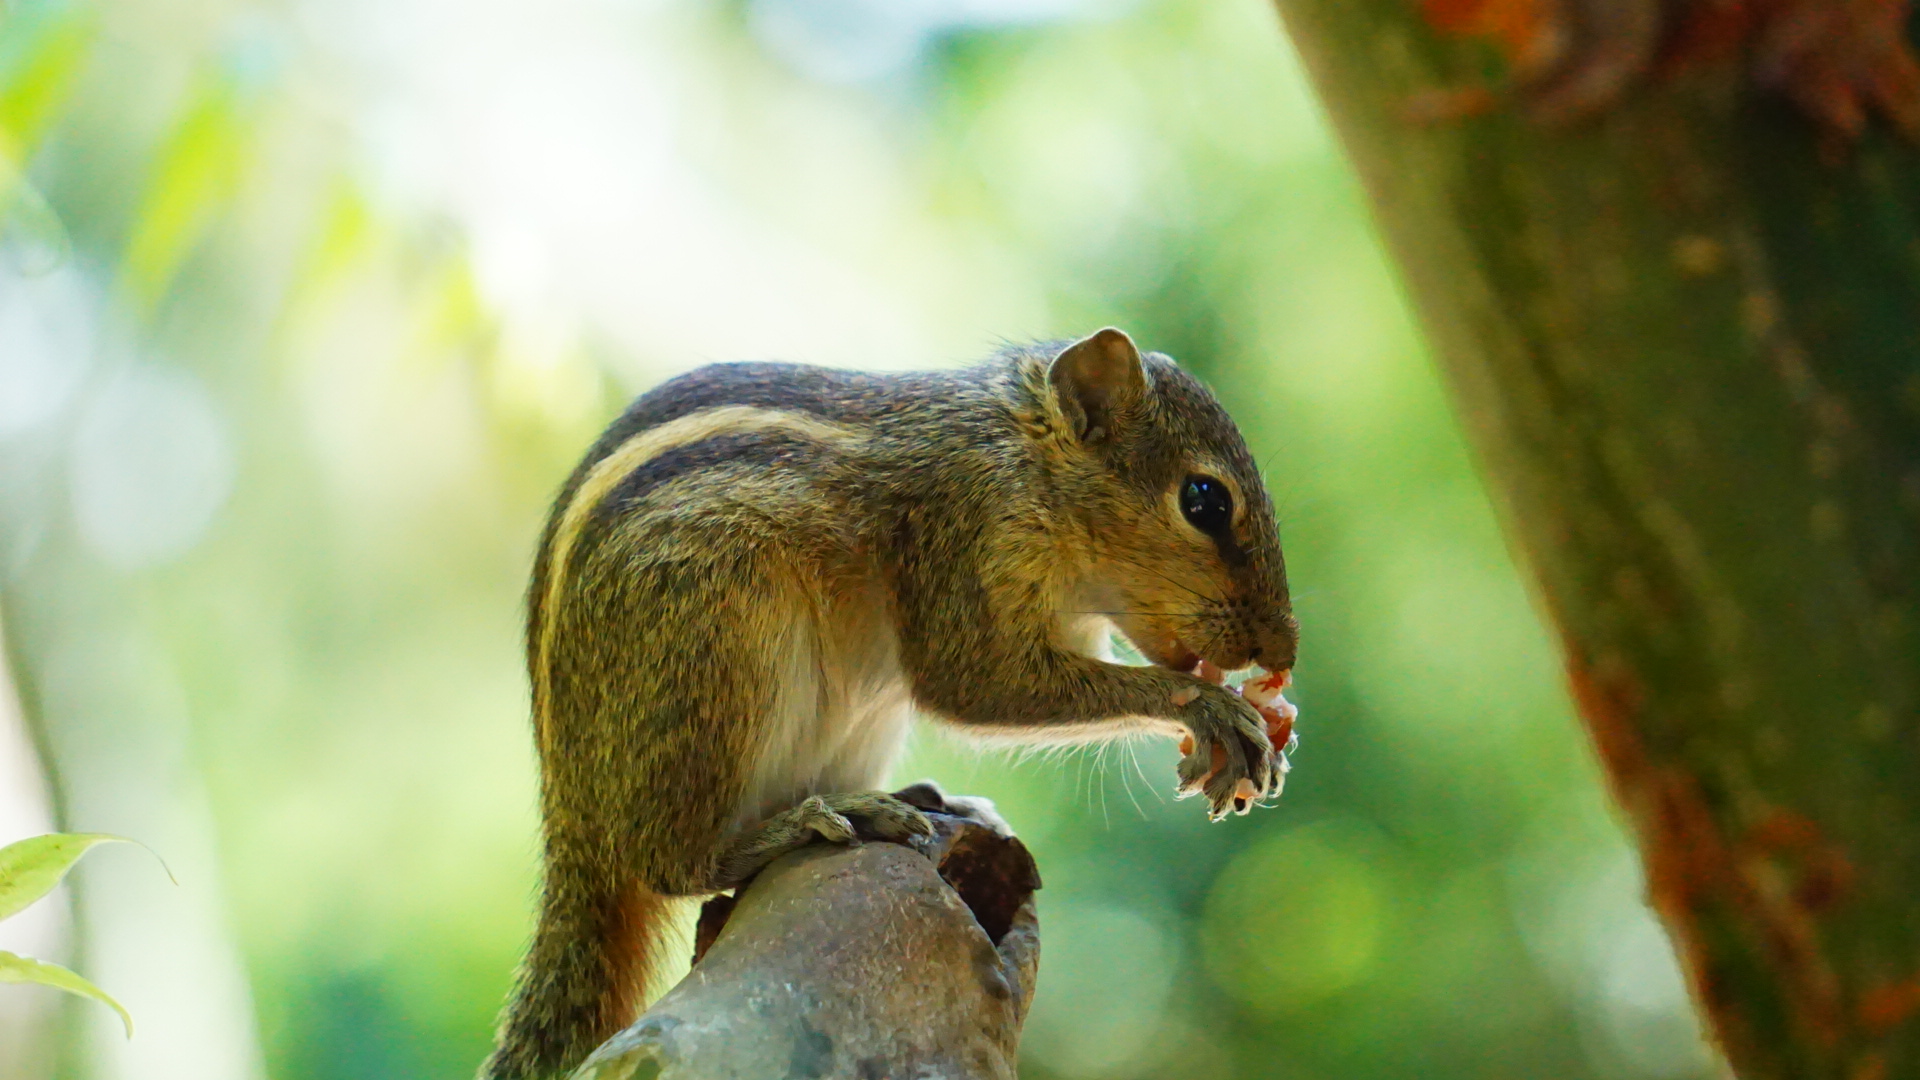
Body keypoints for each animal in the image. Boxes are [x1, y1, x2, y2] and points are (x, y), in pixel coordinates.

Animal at [481, 328, 1299, 1079]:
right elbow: (972, 681)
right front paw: (1209, 709)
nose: (1284, 650)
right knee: (673, 861)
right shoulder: (963, 536)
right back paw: (811, 824)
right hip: (714, 656)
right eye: (1204, 500)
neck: (1027, 459)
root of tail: (572, 814)